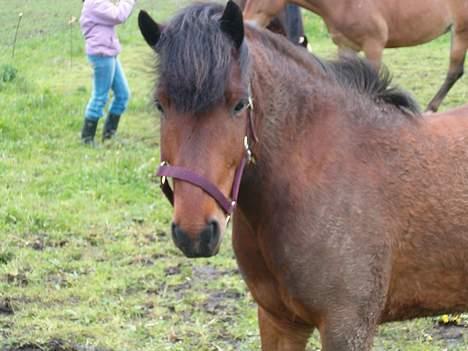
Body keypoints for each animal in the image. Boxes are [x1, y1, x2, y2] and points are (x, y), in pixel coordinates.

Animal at [241, 0, 468, 112]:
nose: (245, 21)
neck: (347, 3)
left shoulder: (374, 45)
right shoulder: (345, 46)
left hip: (460, 31)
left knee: (454, 71)